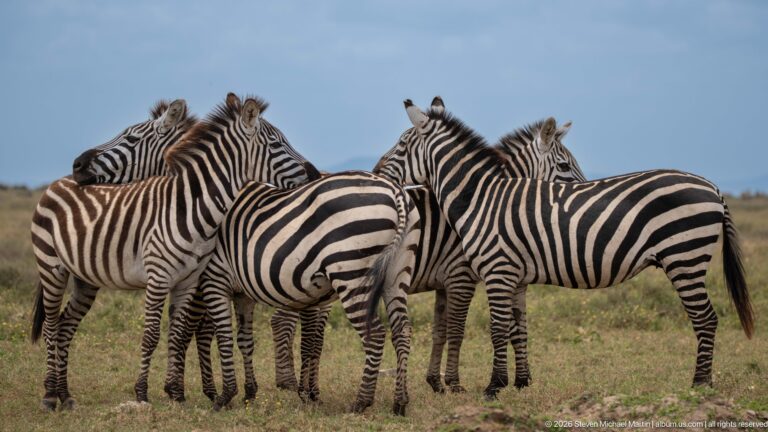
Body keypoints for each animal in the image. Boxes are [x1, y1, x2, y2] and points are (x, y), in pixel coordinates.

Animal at [29, 93, 315, 411]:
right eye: (278, 144)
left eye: (130, 138)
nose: (77, 165)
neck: (189, 206)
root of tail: (57, 182)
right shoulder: (165, 277)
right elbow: (162, 333)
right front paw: (148, 392)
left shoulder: (190, 281)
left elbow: (181, 333)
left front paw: (180, 392)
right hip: (51, 266)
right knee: (51, 326)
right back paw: (49, 395)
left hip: (84, 279)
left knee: (64, 325)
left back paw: (64, 395)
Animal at [182, 170, 418, 415]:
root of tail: (394, 189)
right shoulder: (242, 293)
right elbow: (245, 340)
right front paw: (249, 393)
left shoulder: (215, 278)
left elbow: (221, 337)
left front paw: (225, 396)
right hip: (398, 273)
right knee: (402, 330)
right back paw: (400, 401)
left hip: (351, 272)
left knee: (376, 335)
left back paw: (361, 402)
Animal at [267, 111, 586, 395]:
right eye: (564, 166)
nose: (583, 193)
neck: (486, 202)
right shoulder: (462, 275)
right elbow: (457, 330)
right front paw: (455, 384)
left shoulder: (472, 279)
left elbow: (467, 330)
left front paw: (513, 381)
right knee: (289, 323)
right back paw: (294, 386)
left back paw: (299, 386)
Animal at [374, 96, 754, 400]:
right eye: (564, 166)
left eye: (402, 143)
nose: (377, 169)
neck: (482, 198)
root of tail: (713, 187)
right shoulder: (515, 277)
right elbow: (517, 330)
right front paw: (521, 382)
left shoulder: (494, 271)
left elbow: (494, 329)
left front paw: (493, 387)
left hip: (685, 257)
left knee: (705, 318)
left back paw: (700, 384)